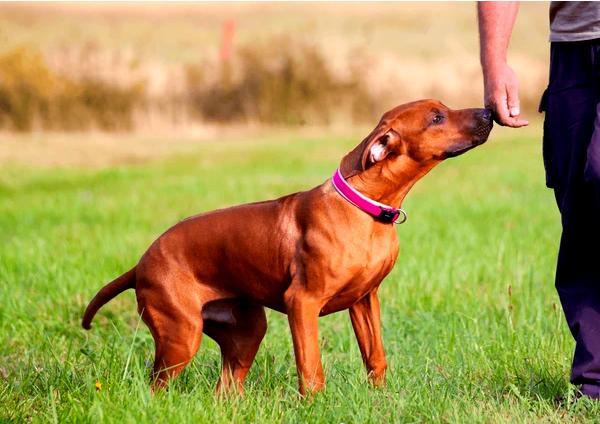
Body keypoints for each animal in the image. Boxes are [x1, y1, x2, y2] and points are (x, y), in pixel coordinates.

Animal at [81, 99, 492, 394]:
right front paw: (315, 406)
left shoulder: (365, 299)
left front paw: (381, 399)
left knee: (226, 389)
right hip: (180, 335)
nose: (488, 112)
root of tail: (139, 265)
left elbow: (376, 357)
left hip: (245, 331)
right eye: (437, 117)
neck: (365, 208)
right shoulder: (303, 303)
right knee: (156, 387)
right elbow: (311, 368)